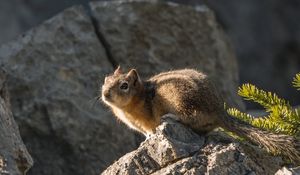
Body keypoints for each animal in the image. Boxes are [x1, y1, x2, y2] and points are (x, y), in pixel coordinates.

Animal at [100, 66, 300, 163]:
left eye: (124, 85)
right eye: (106, 80)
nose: (105, 93)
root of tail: (219, 111)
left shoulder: (147, 120)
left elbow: (150, 130)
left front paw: (148, 138)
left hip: (181, 100)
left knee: (190, 116)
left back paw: (170, 117)